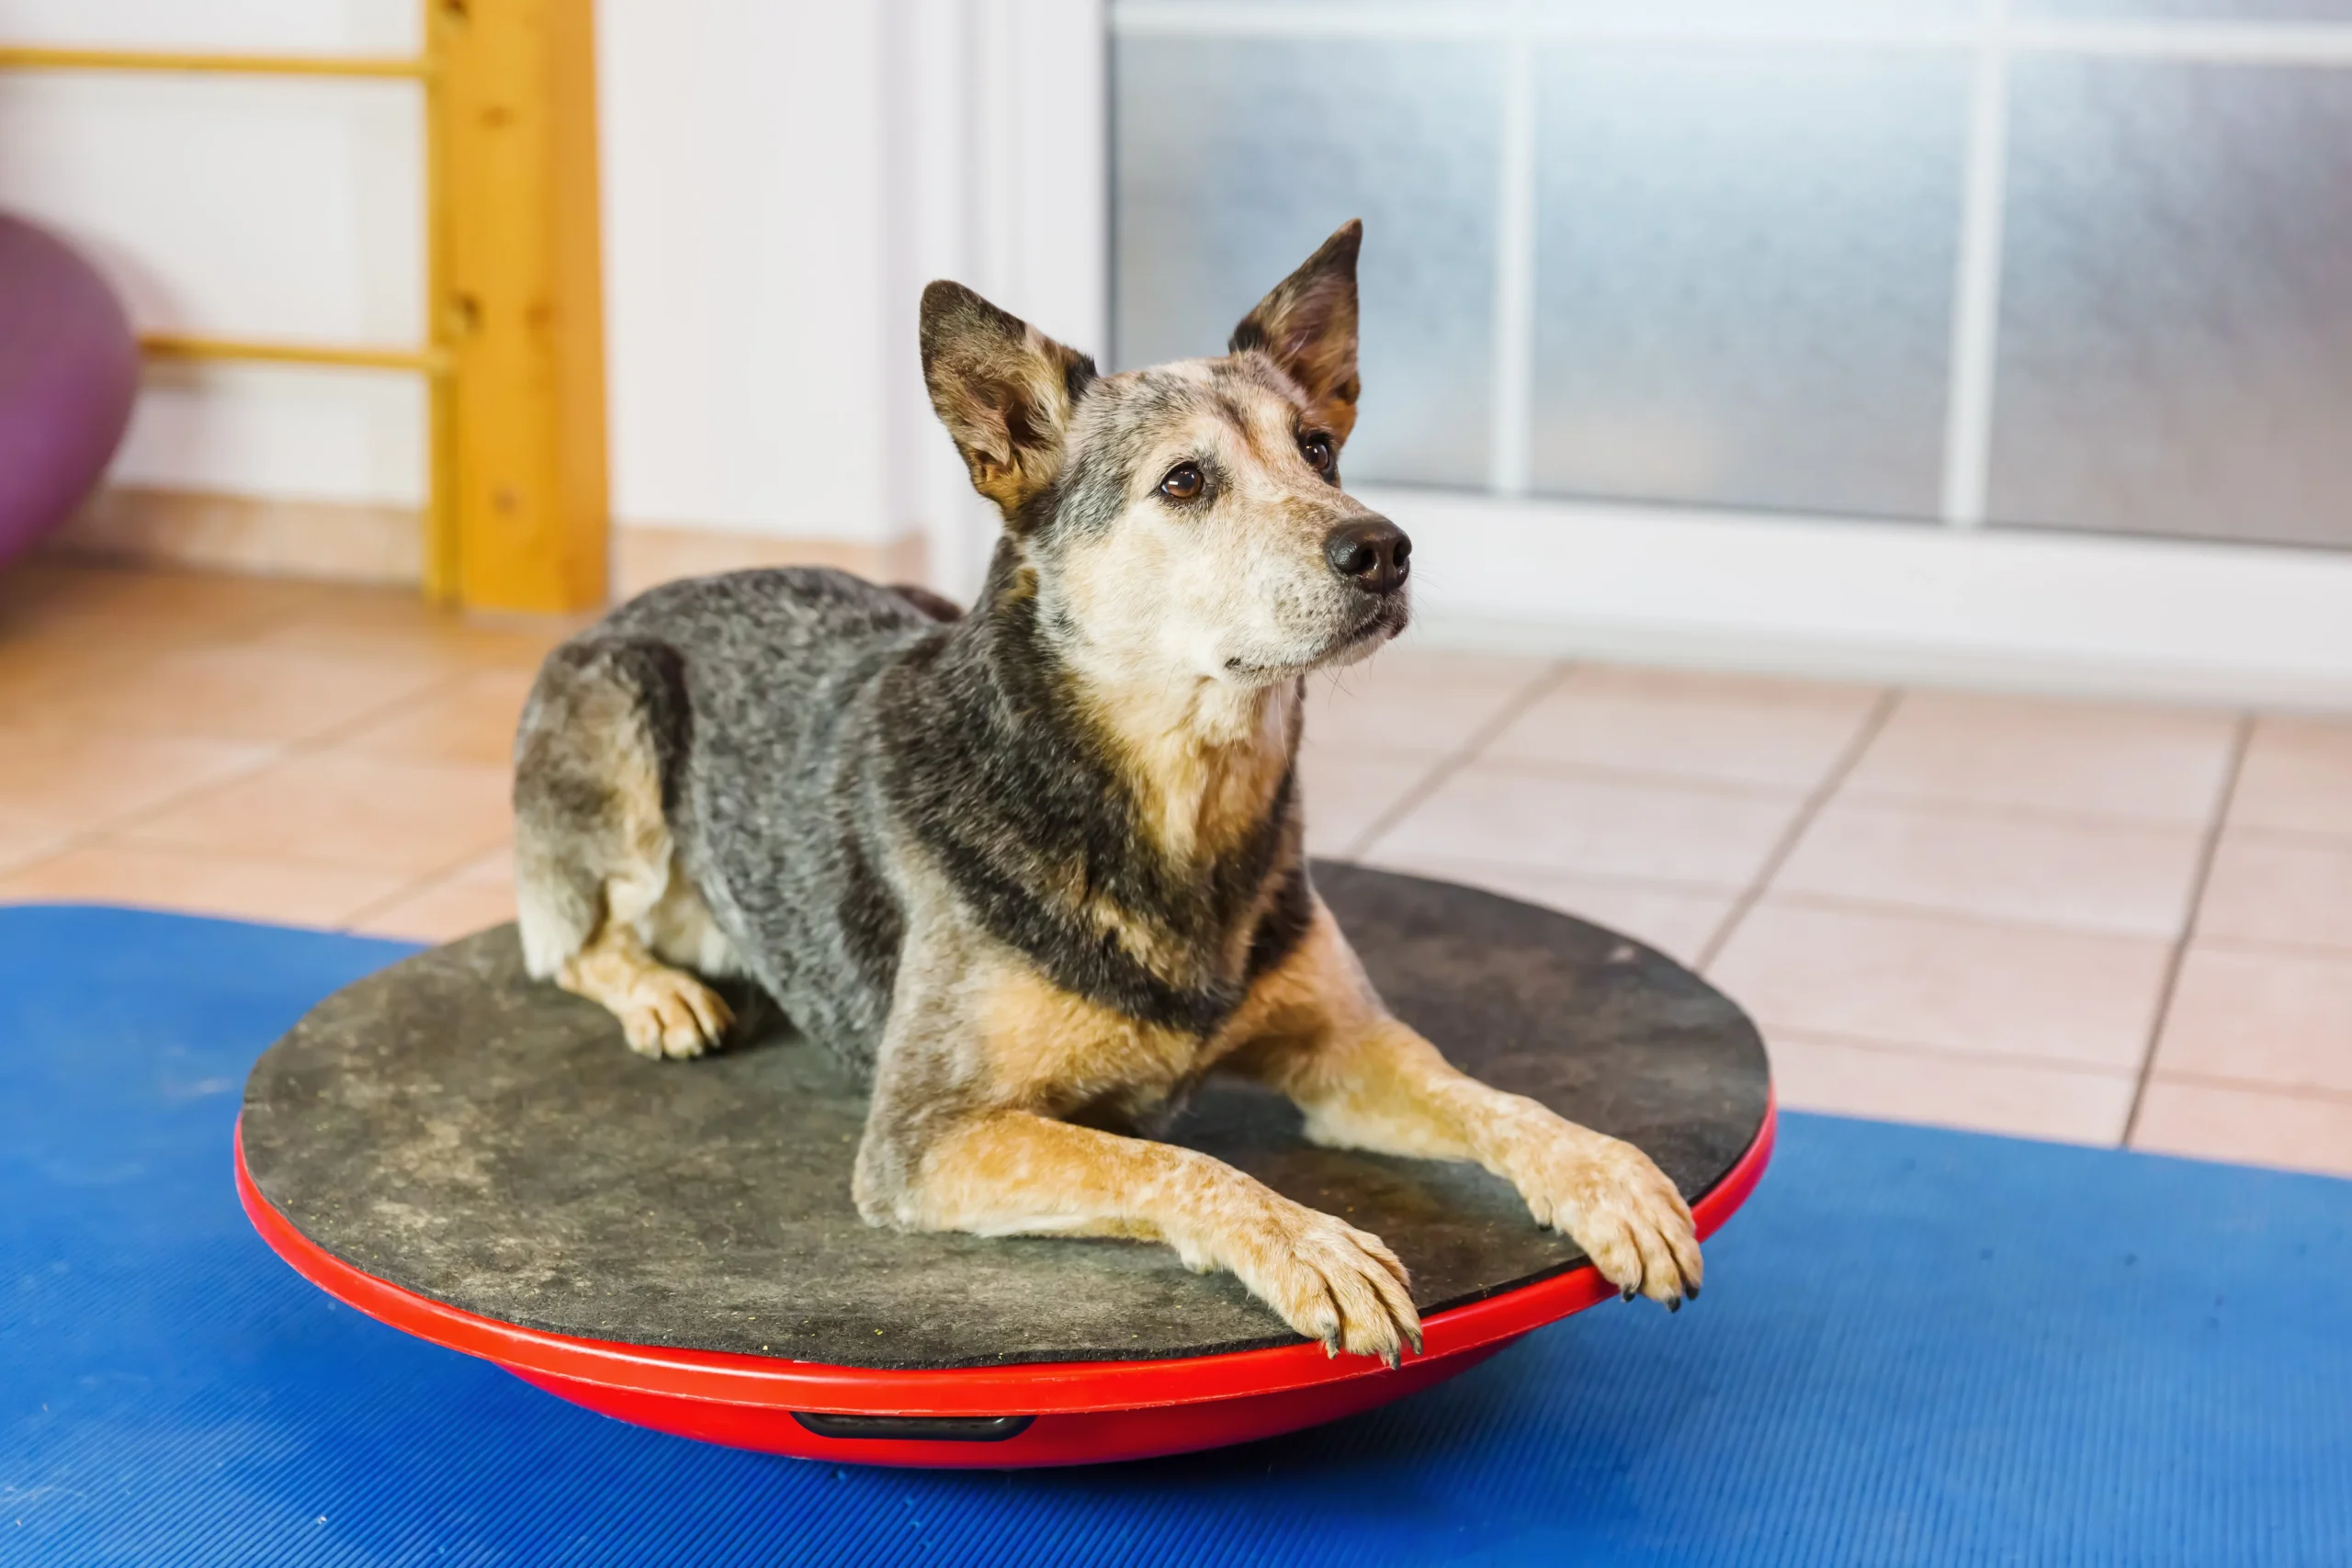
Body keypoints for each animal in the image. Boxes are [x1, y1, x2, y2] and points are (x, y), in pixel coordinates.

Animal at [510, 220, 1693, 1363]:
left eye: (1317, 449)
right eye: (1184, 482)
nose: (1383, 547)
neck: (1177, 797)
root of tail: (650, 596)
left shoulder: (1347, 1050)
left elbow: (1490, 1097)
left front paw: (1601, 1173)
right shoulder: (929, 1134)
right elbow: (1176, 1166)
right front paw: (1309, 1244)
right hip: (620, 704)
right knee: (567, 941)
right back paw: (660, 992)